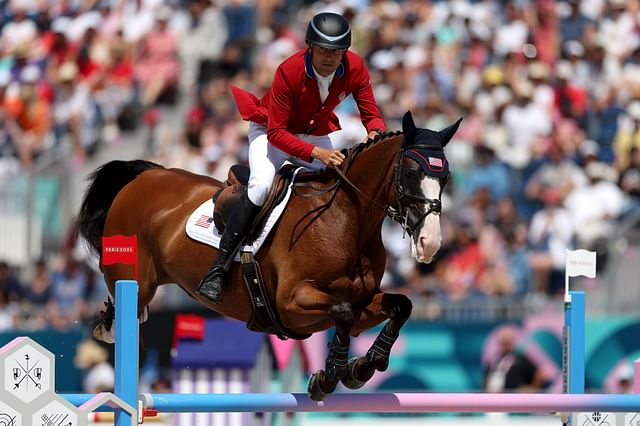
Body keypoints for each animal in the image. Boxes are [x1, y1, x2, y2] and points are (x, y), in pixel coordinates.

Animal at [79, 111, 460, 402]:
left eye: (445, 177)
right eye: (411, 173)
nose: (430, 243)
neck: (346, 219)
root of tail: (144, 177)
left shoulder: (363, 301)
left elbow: (399, 306)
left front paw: (361, 368)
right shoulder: (291, 303)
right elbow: (342, 311)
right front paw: (329, 376)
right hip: (135, 279)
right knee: (127, 309)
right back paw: (108, 328)